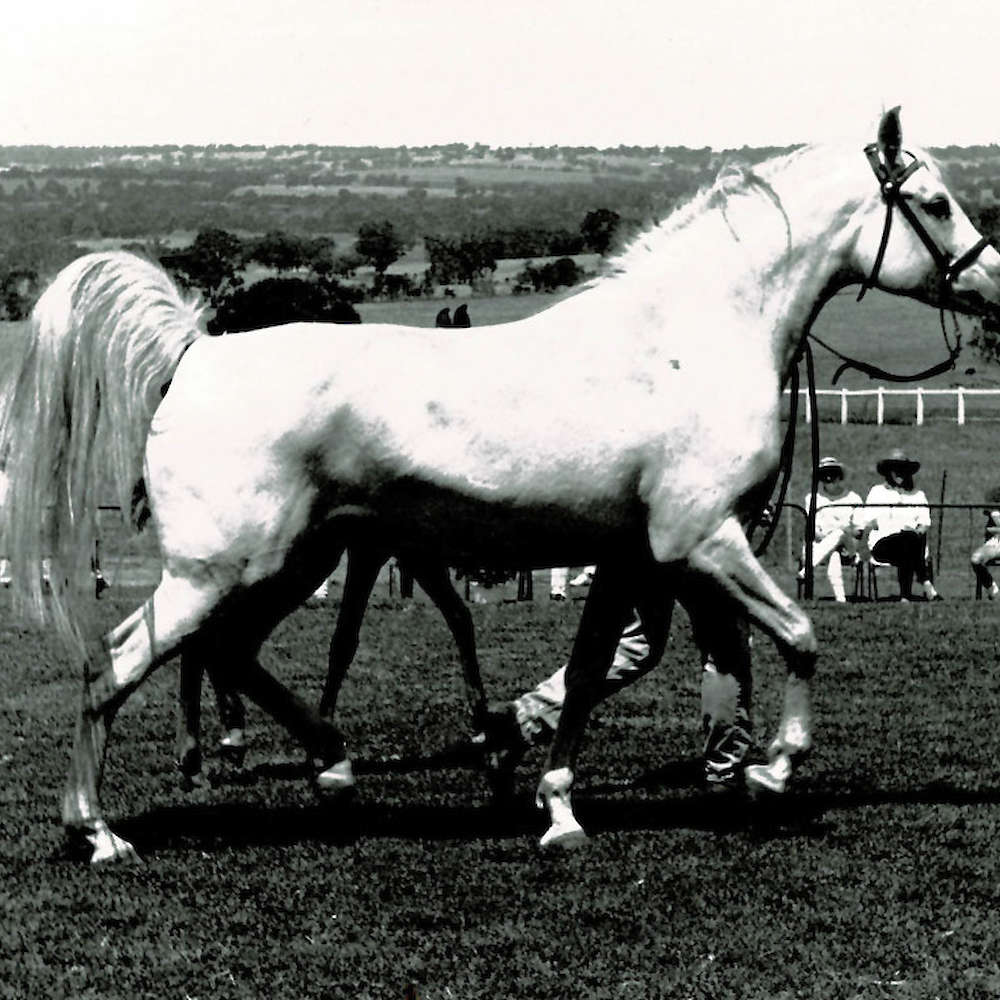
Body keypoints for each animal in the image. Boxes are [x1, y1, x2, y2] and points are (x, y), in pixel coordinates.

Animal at [3, 108, 998, 863]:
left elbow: (590, 673)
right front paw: (770, 770)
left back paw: (336, 766)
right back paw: (100, 834)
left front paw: (557, 809)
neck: (685, 341)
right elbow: (799, 634)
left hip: (292, 561)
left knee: (230, 654)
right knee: (115, 662)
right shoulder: (700, 539)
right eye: (934, 203)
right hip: (223, 569)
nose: (991, 275)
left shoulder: (630, 557)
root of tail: (196, 353)